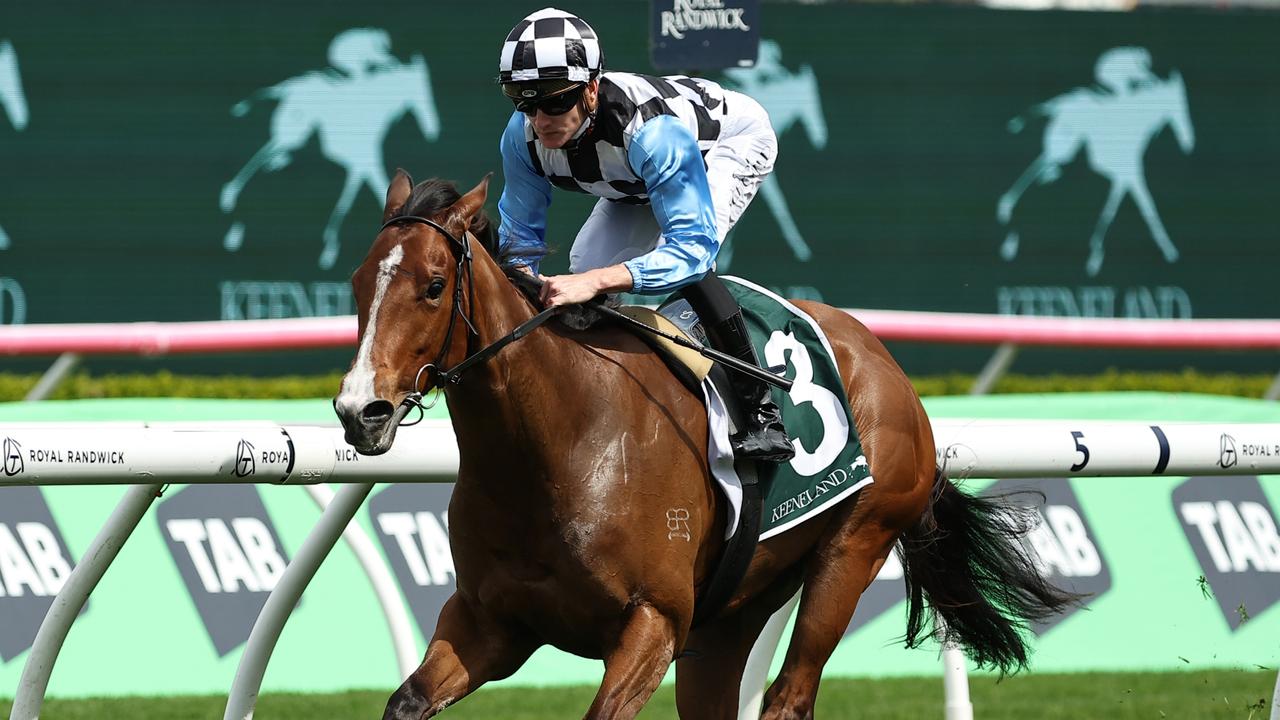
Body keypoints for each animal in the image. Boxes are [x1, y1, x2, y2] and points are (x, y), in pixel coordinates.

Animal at [220, 27, 440, 269]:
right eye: (421, 88)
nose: (433, 128)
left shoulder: (359, 168)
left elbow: (347, 202)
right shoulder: (365, 164)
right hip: (292, 136)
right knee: (259, 159)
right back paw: (230, 203)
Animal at [335, 172, 1075, 717]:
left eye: (434, 287)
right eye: (358, 283)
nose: (359, 411)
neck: (552, 446)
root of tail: (886, 365)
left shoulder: (653, 622)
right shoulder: (489, 623)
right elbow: (405, 702)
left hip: (852, 548)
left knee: (789, 695)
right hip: (734, 609)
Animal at [998, 51, 1187, 275]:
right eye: (1181, 105)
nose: (1188, 142)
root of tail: (1065, 102)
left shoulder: (1125, 177)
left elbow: (1118, 208)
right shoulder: (1129, 175)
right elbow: (1142, 208)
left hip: (1066, 146)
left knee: (1043, 162)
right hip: (1064, 145)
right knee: (1038, 165)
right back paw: (1007, 209)